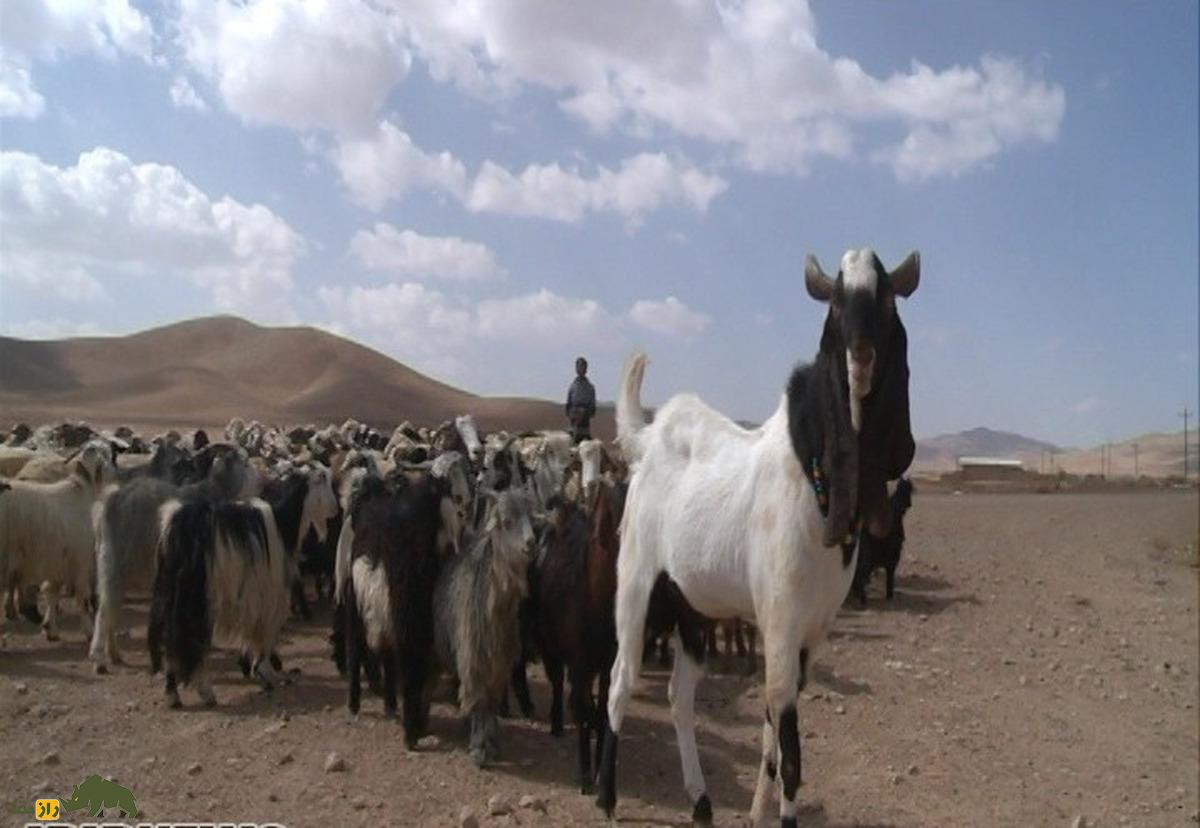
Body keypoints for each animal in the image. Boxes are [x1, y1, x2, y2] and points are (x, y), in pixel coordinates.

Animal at [597, 248, 916, 820]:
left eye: (885, 300)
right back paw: (609, 799)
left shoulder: (811, 634)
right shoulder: (781, 623)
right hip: (635, 584)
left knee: (679, 695)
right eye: (836, 303)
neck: (810, 468)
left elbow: (772, 738)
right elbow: (790, 755)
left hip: (692, 607)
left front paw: (754, 813)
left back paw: (701, 799)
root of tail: (648, 438)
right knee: (619, 681)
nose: (860, 359)